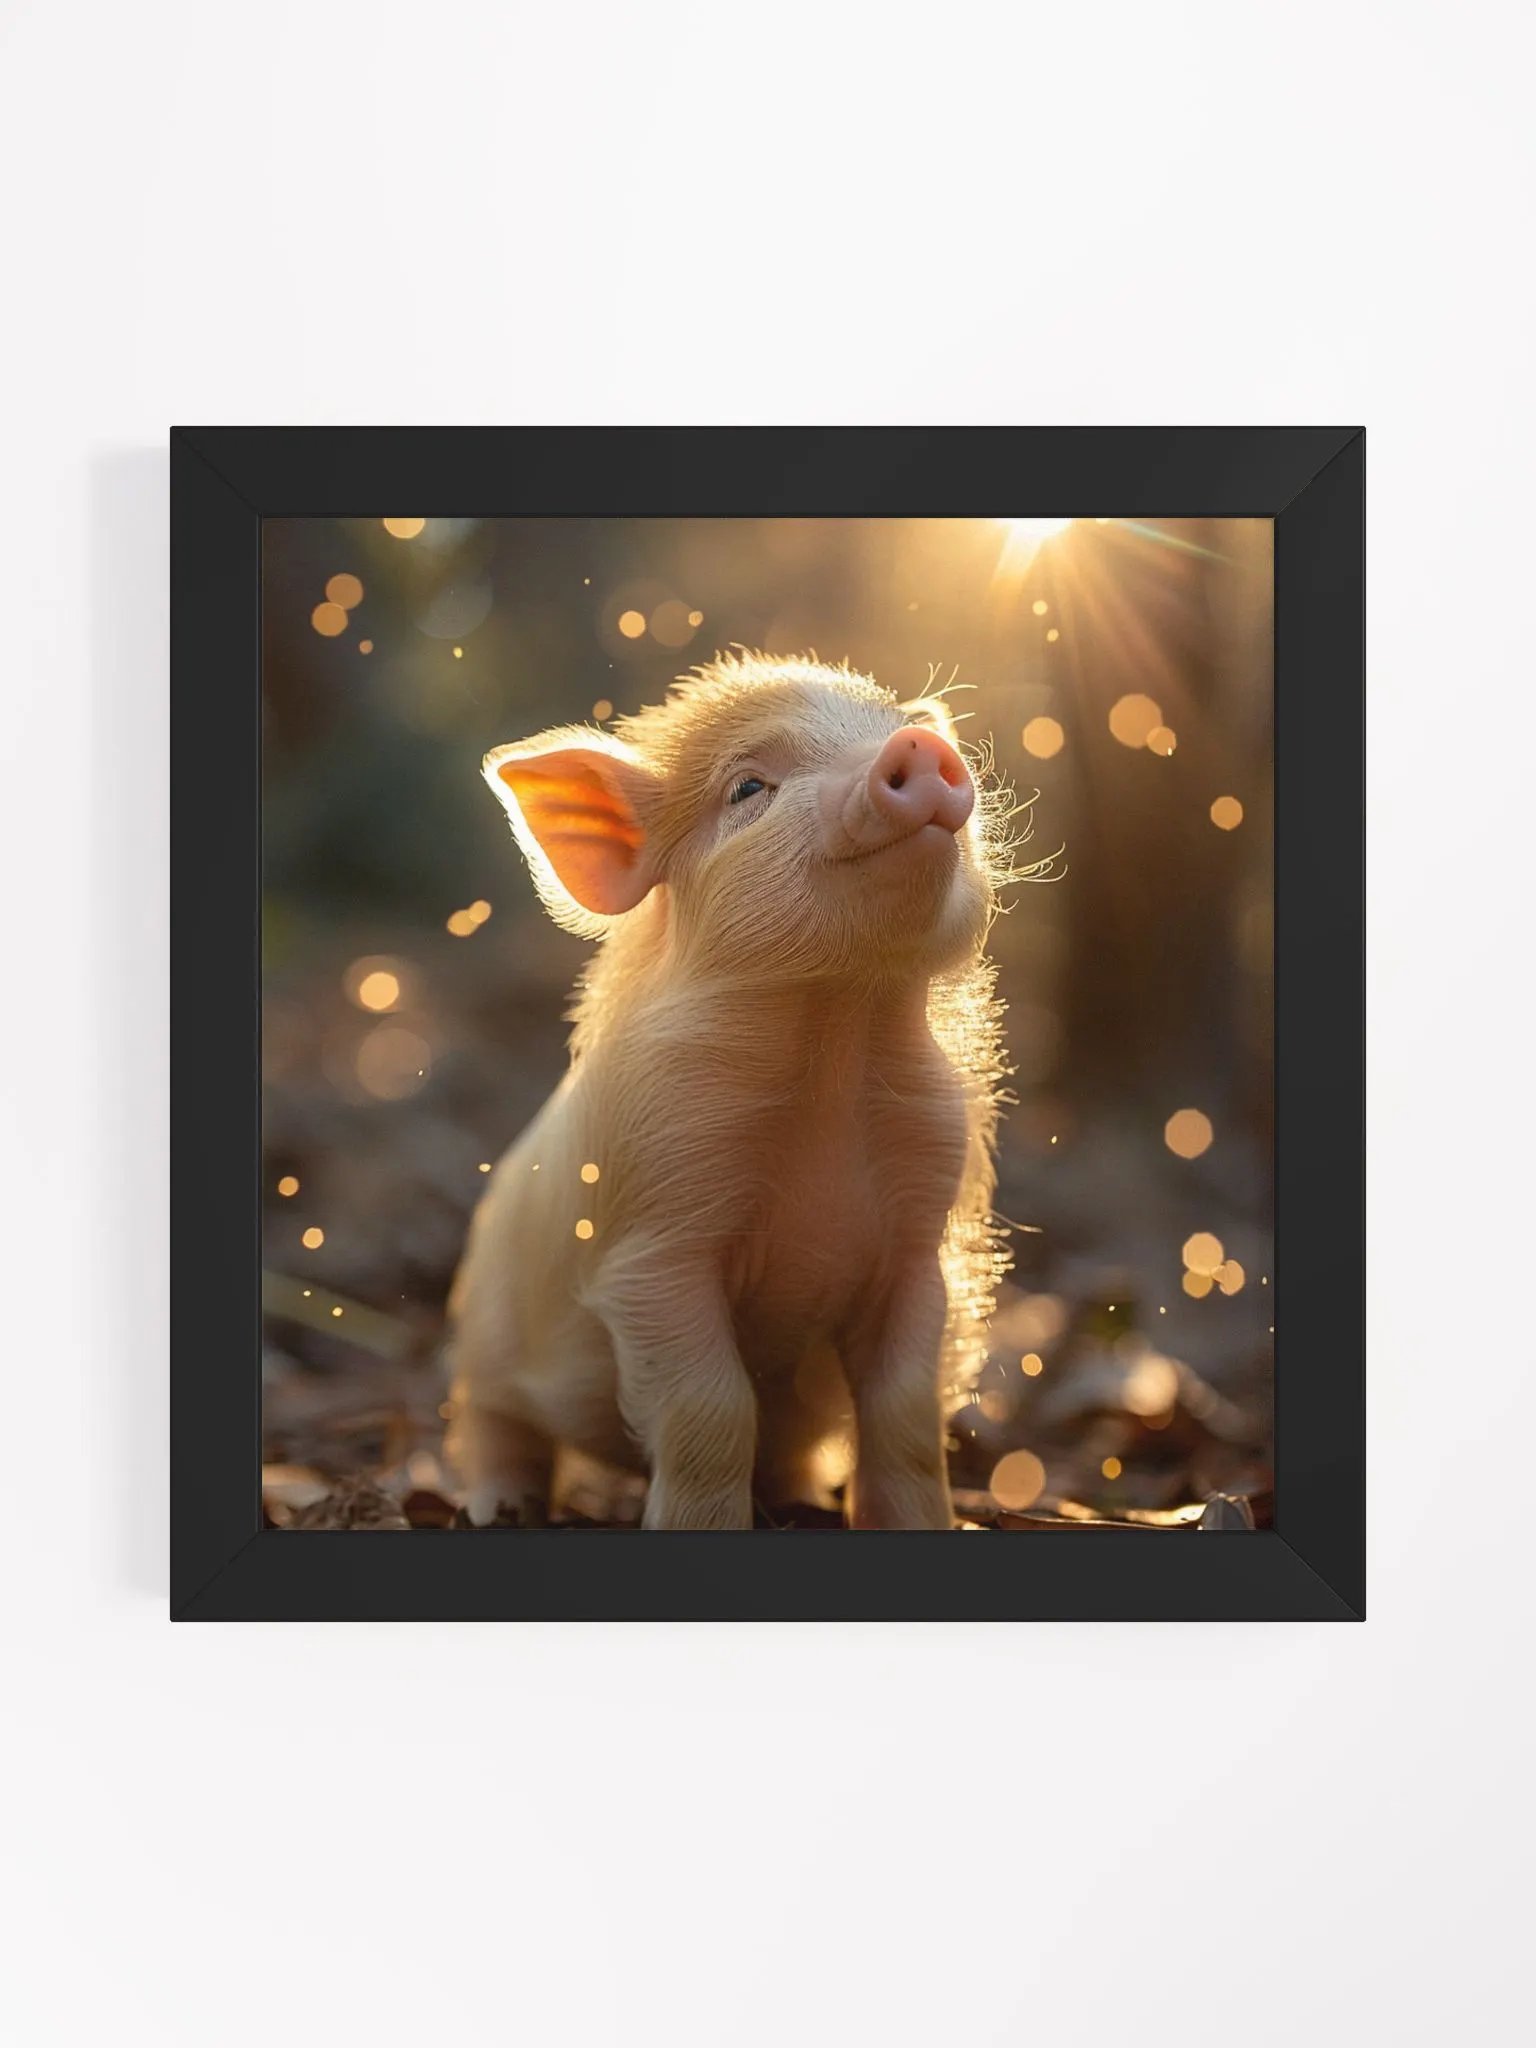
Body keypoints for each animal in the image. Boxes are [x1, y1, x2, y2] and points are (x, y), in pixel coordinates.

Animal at [445, 651, 1032, 1529]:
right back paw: (500, 1506)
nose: (919, 750)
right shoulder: (654, 1240)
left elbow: (904, 1410)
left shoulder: (919, 1242)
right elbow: (712, 1405)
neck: (835, 1040)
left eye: (897, 730)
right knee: (495, 1428)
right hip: (483, 1339)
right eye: (748, 787)